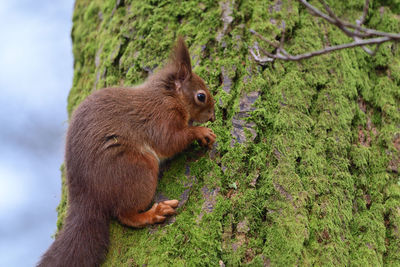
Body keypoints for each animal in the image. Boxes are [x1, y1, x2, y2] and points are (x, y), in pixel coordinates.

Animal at [38, 37, 216, 267]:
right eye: (201, 96)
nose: (213, 116)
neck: (168, 95)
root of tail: (87, 196)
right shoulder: (160, 118)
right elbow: (170, 142)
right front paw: (200, 132)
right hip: (137, 168)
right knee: (125, 214)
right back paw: (154, 212)